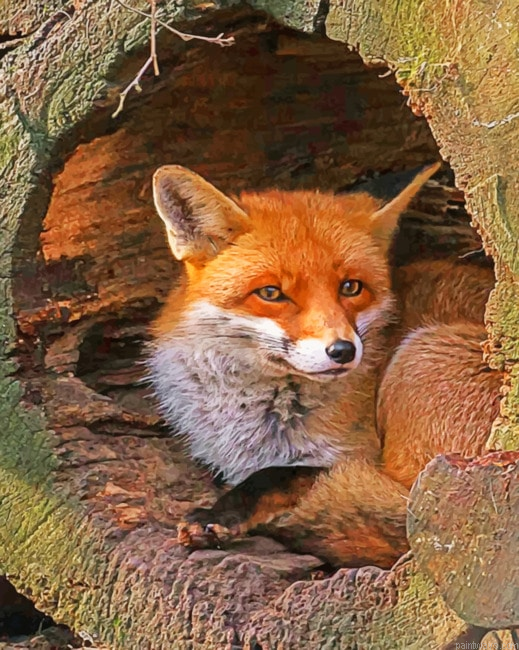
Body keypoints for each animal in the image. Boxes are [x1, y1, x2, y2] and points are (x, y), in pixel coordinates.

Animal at [147, 162, 502, 568]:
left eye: (350, 287)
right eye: (271, 293)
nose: (343, 350)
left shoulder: (359, 456)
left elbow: (280, 475)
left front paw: (221, 513)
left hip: (419, 370)